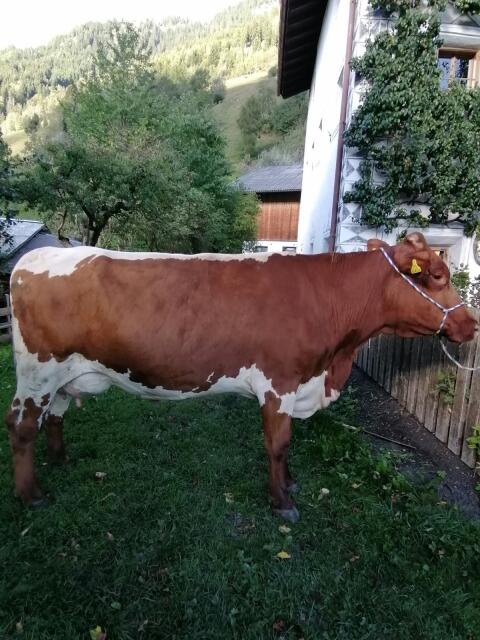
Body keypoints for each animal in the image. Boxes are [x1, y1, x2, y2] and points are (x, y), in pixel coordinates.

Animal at [5, 232, 476, 522]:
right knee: (22, 426)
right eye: (437, 275)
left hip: (62, 375)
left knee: (56, 415)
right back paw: (31, 494)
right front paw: (282, 500)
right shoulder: (279, 383)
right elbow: (279, 443)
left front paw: (290, 482)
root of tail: (35, 257)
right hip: (37, 372)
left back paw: (61, 459)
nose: (470, 324)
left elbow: (286, 446)